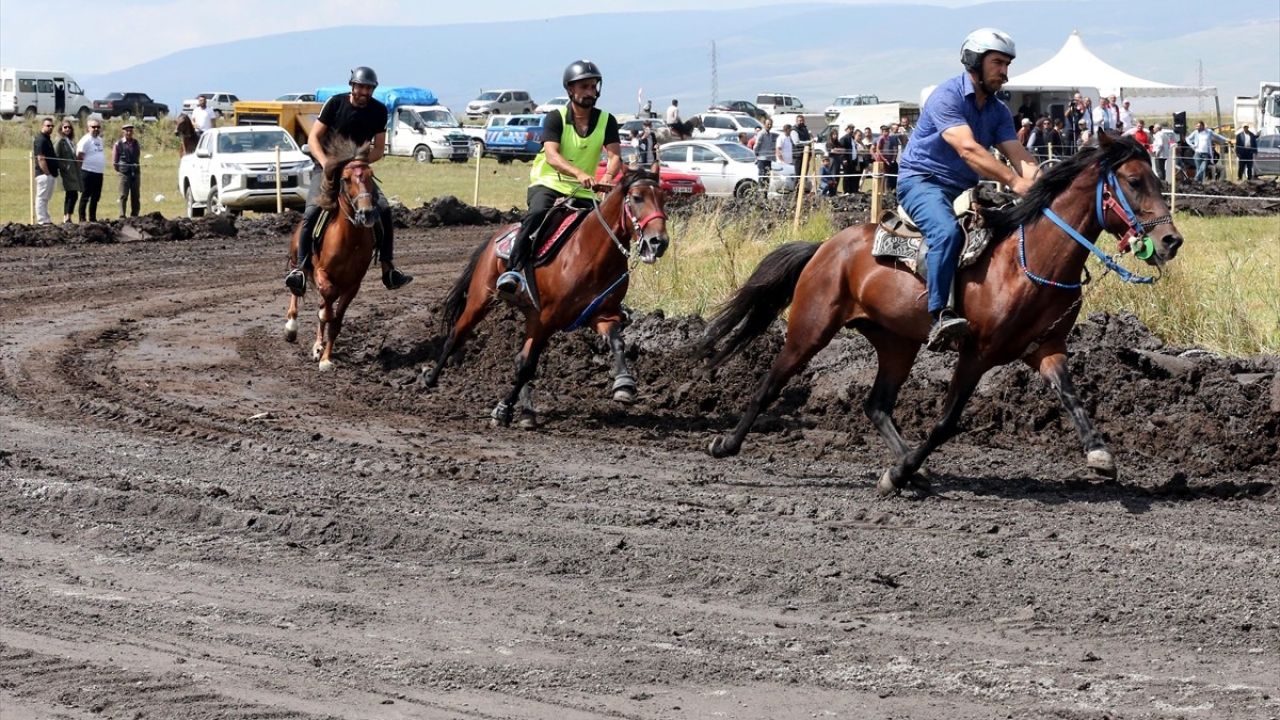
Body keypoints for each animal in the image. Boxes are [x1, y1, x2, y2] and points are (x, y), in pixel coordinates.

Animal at [284, 137, 376, 368]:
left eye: (370, 176)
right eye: (346, 179)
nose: (367, 213)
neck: (350, 239)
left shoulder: (353, 285)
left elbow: (335, 321)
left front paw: (326, 358)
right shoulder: (322, 272)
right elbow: (326, 300)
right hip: (296, 262)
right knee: (296, 289)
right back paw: (292, 327)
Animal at [427, 167, 670, 425]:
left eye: (663, 198)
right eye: (637, 198)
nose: (659, 242)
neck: (590, 253)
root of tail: (497, 237)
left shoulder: (601, 314)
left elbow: (617, 341)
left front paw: (624, 385)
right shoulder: (547, 319)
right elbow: (527, 366)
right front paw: (502, 409)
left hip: (530, 314)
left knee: (518, 357)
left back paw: (526, 411)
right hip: (480, 299)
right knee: (457, 334)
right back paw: (430, 378)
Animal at [696, 133, 1182, 491]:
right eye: (1134, 180)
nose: (1172, 241)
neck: (1029, 262)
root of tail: (827, 247)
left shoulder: (1046, 348)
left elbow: (1071, 396)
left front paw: (1100, 455)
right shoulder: (977, 353)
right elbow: (948, 422)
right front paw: (897, 473)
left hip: (897, 343)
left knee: (876, 404)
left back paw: (915, 469)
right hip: (811, 328)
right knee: (770, 384)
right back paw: (726, 444)